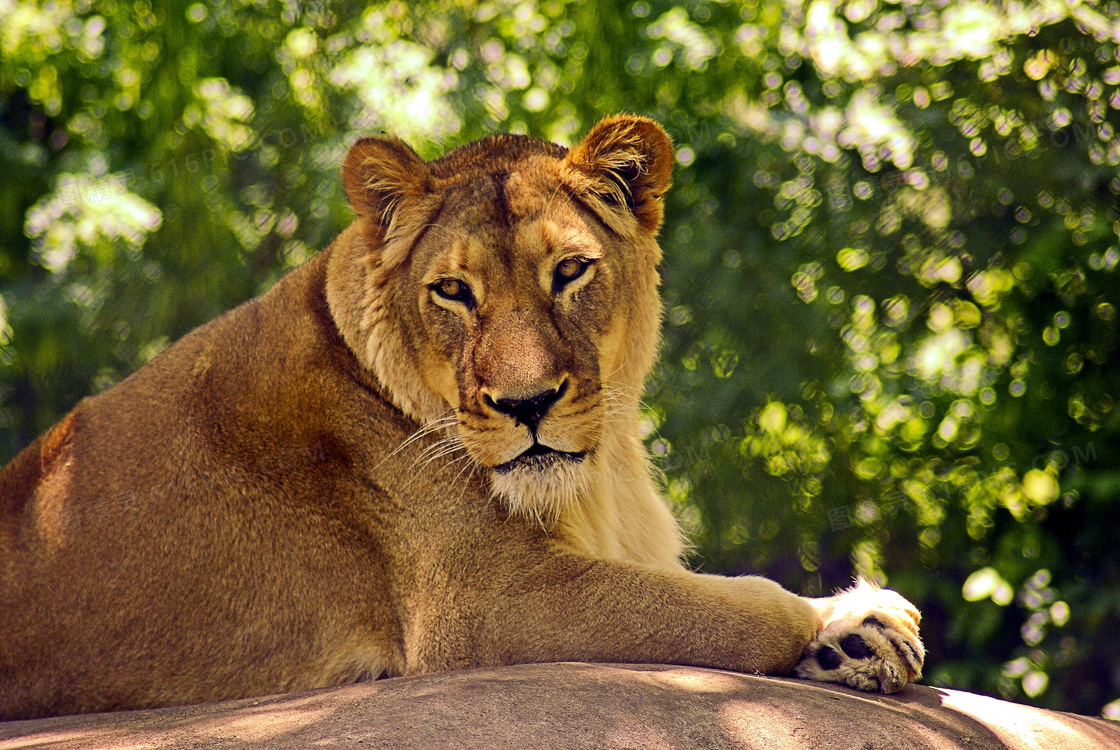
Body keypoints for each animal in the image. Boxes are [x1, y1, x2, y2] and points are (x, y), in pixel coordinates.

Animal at [0, 114, 922, 720]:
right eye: (452, 290)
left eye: (570, 271)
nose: (526, 404)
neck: (605, 472)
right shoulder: (486, 604)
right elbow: (741, 608)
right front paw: (844, 627)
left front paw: (859, 632)